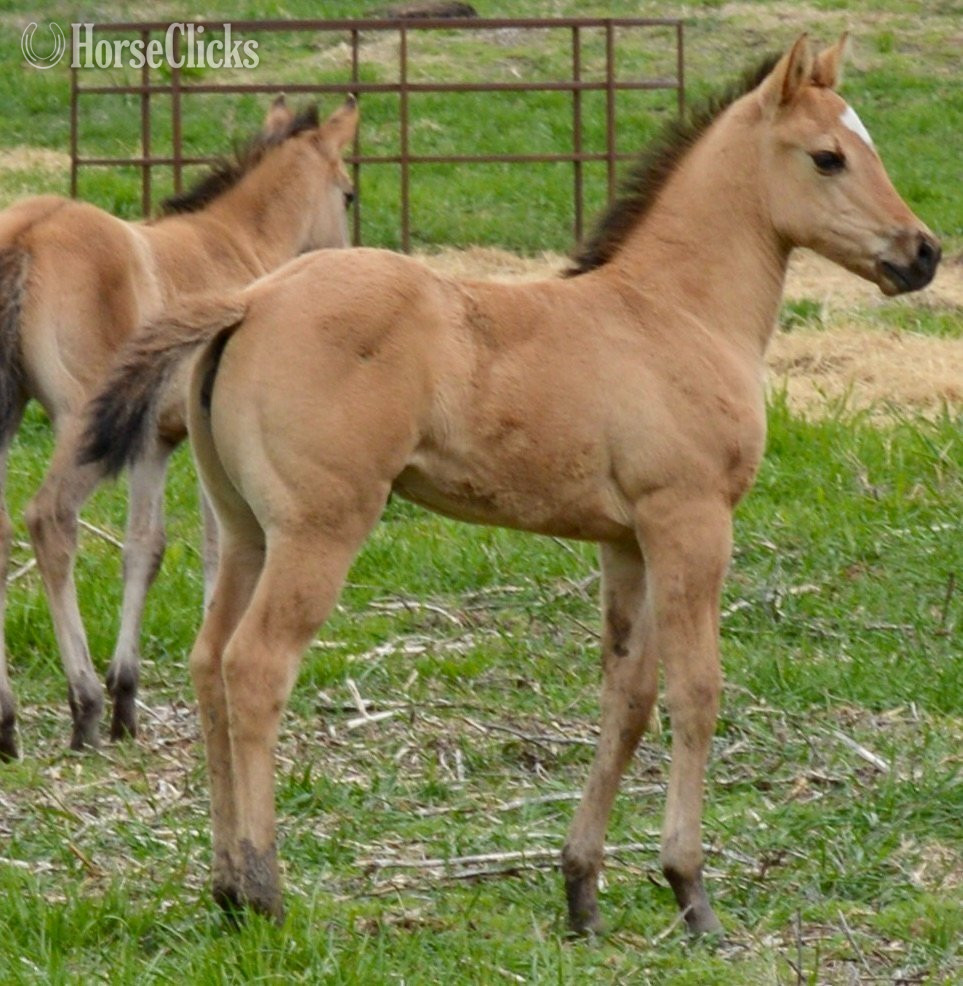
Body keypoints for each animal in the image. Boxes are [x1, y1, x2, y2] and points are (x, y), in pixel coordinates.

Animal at [0, 95, 359, 759]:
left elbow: (146, 548)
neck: (235, 243)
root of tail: (27, 238)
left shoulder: (152, 444)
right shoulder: (205, 441)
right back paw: (82, 703)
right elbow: (221, 550)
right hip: (80, 421)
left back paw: (11, 719)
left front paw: (128, 696)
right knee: (50, 518)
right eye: (347, 193)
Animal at [80, 35, 939, 935]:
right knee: (255, 668)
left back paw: (224, 888)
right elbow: (696, 691)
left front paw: (581, 890)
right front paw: (689, 889)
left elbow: (627, 697)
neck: (674, 313)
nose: (921, 253)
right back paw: (264, 888)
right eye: (827, 156)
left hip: (247, 528)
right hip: (319, 529)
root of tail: (250, 298)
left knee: (209, 663)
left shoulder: (624, 541)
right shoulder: (691, 520)